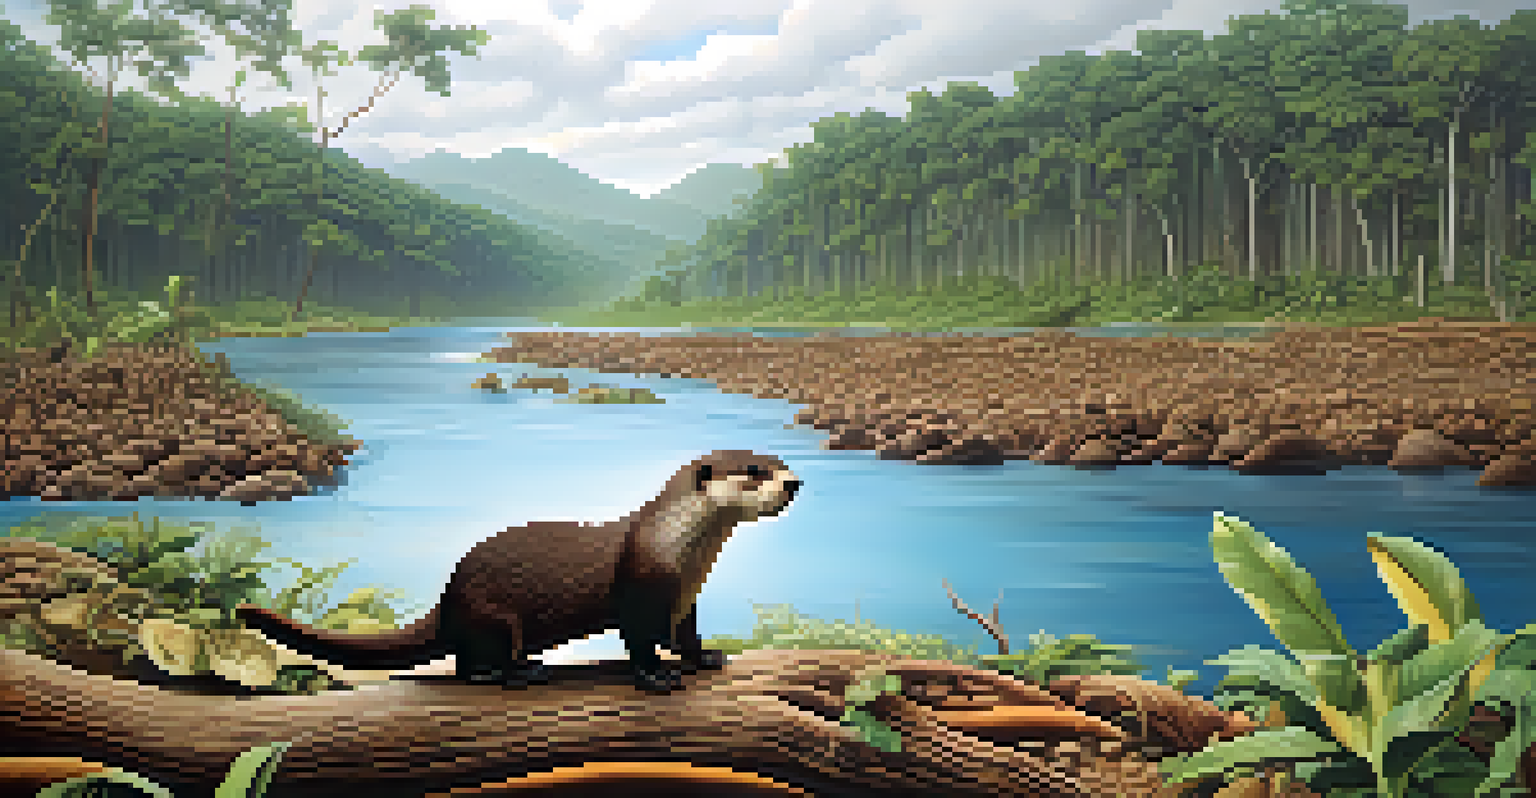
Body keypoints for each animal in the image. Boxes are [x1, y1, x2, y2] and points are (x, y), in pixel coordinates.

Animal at [237, 450, 800, 693]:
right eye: (755, 472)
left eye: (780, 460)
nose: (794, 482)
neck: (681, 552)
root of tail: (447, 599)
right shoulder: (639, 592)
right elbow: (639, 642)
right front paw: (656, 676)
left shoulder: (685, 596)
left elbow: (687, 635)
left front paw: (705, 657)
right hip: (495, 616)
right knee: (473, 664)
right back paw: (519, 672)